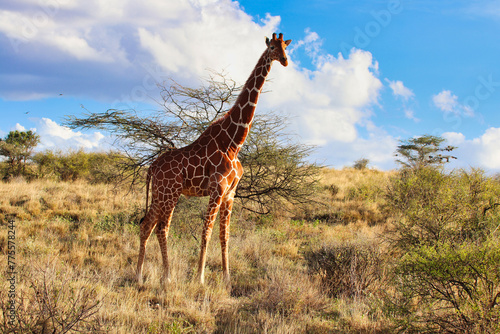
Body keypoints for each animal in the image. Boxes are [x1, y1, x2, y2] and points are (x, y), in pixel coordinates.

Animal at [137, 32, 292, 286]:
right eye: (272, 47)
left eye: (286, 48)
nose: (285, 61)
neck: (234, 142)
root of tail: (151, 167)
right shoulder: (216, 189)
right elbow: (206, 232)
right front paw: (199, 278)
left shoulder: (230, 193)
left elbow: (224, 235)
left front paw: (227, 278)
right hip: (171, 193)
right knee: (162, 228)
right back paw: (166, 276)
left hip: (160, 194)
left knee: (146, 225)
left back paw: (139, 274)